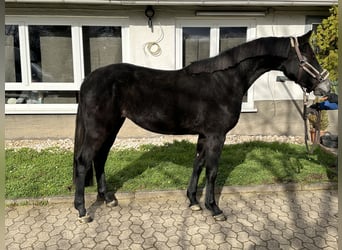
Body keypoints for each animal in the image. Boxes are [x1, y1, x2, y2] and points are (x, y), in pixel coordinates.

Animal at [73, 31, 330, 223]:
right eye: (308, 58)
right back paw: (82, 211)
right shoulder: (217, 136)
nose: (325, 87)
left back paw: (108, 199)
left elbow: (198, 165)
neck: (225, 81)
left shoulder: (205, 135)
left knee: (100, 159)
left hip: (112, 126)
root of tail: (89, 80)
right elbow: (212, 171)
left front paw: (194, 202)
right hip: (99, 129)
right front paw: (214, 209)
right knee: (84, 161)